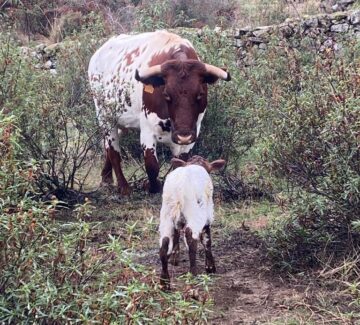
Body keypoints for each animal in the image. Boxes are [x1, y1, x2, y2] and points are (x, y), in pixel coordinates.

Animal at [88, 30, 232, 194]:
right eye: (167, 94)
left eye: (200, 94)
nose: (183, 135)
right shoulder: (147, 131)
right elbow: (152, 166)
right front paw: (152, 187)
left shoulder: (192, 136)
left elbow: (180, 163)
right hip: (105, 116)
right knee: (113, 151)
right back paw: (124, 187)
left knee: (107, 144)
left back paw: (106, 178)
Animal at [158, 156, 224, 288]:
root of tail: (177, 186)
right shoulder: (207, 215)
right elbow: (207, 240)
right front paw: (210, 267)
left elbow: (176, 236)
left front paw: (174, 258)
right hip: (194, 213)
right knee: (190, 237)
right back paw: (193, 273)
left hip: (166, 214)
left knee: (164, 242)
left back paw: (164, 282)